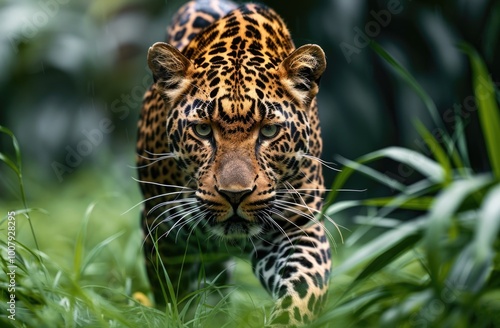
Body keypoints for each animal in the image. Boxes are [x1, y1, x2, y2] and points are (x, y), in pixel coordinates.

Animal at [137, 0, 332, 326]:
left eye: (269, 131)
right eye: (203, 130)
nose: (235, 195)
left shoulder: (298, 229)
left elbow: (303, 290)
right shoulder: (162, 231)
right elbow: (177, 296)